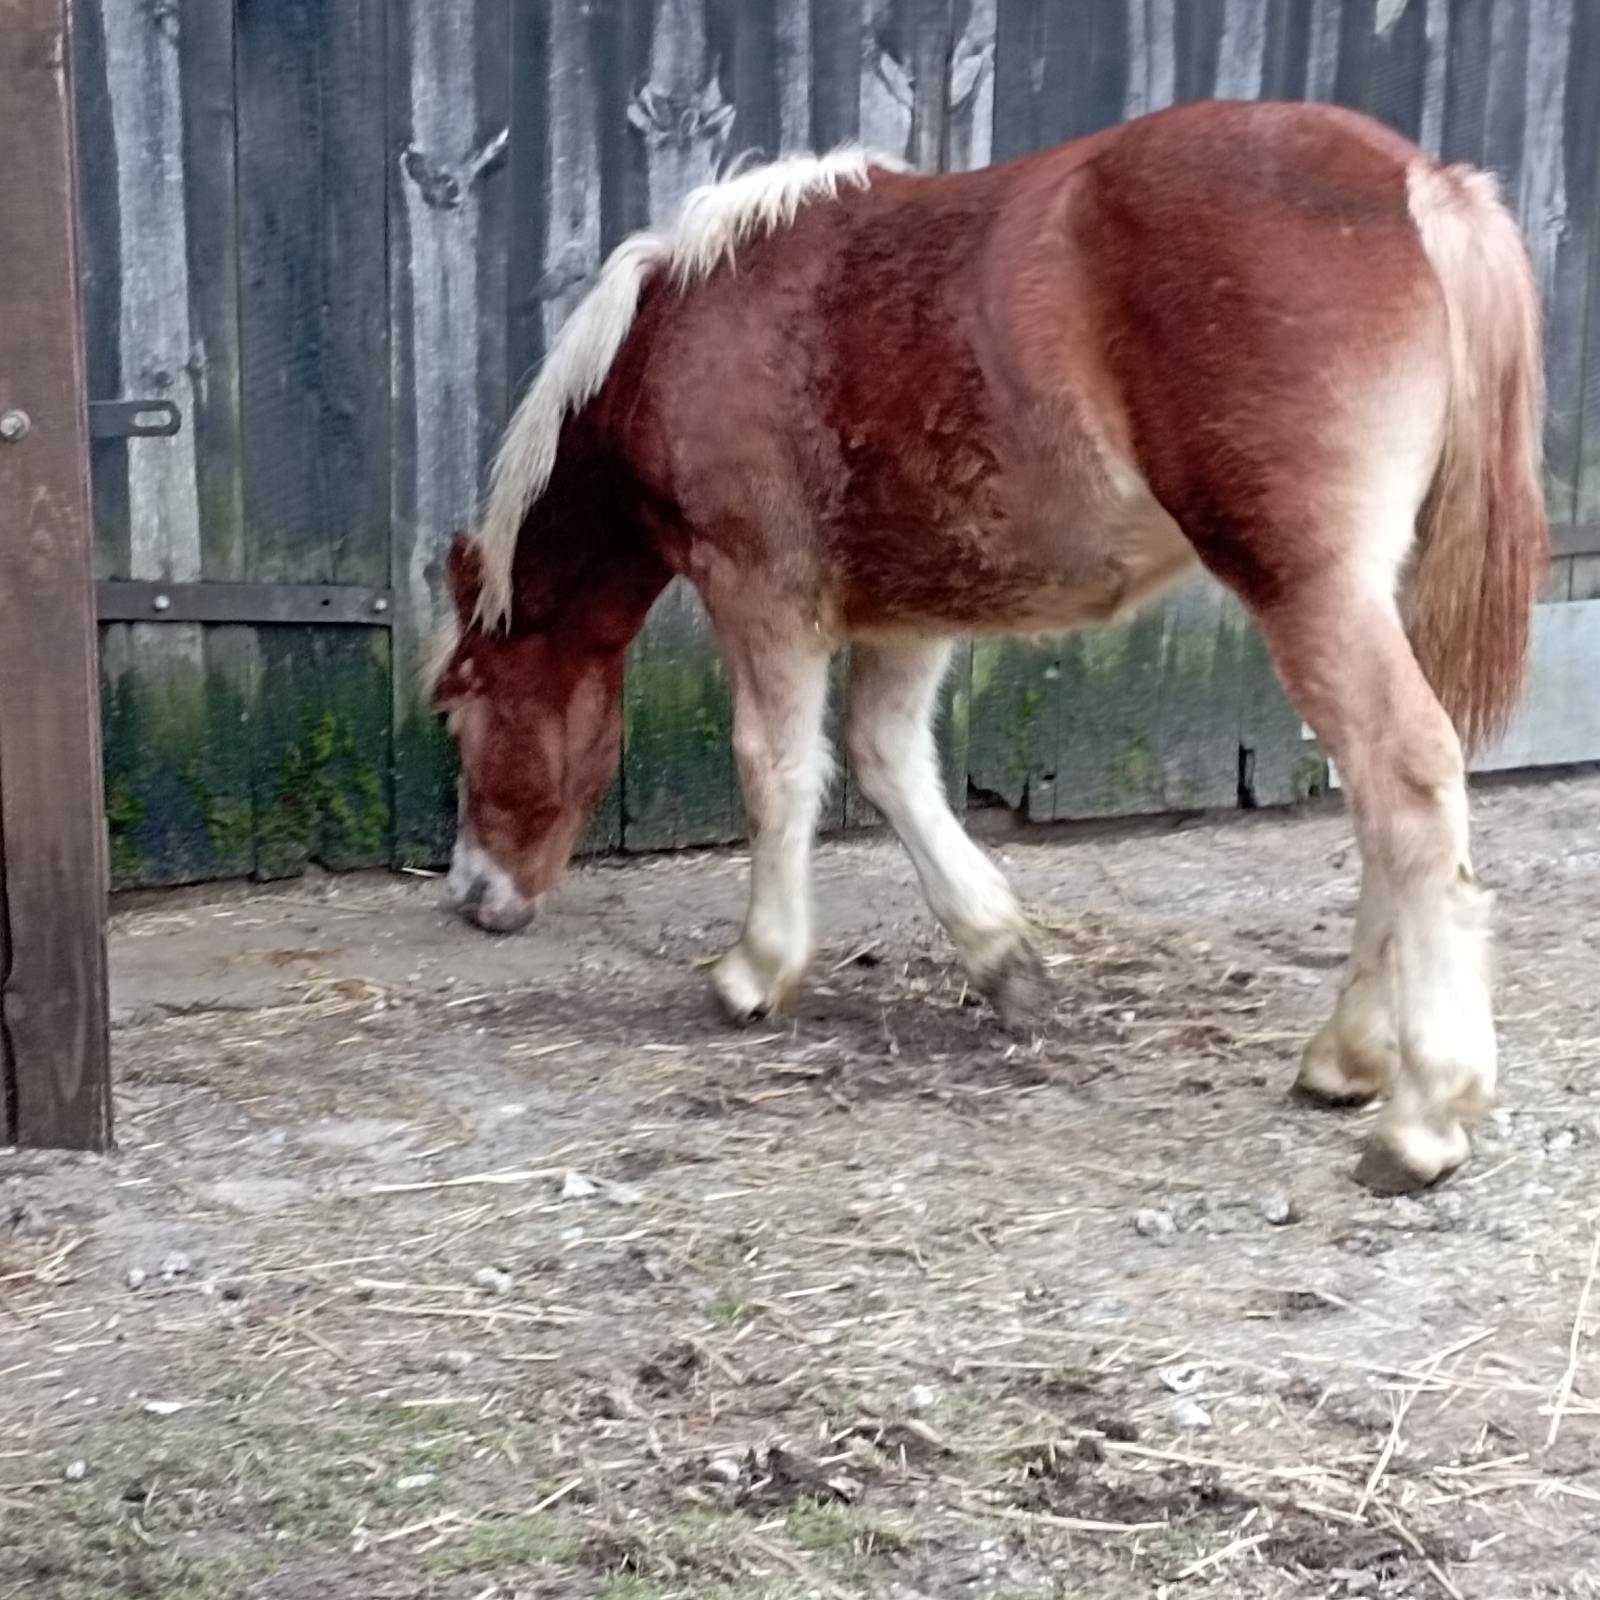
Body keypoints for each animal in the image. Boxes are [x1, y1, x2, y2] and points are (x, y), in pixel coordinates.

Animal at [432, 100, 1542, 1196]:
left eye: (457, 705)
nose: (471, 894)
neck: (687, 331)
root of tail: (1422, 188)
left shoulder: (759, 591)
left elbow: (776, 771)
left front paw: (757, 969)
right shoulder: (913, 608)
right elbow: (889, 762)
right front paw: (1001, 956)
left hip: (1313, 591)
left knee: (1406, 781)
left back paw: (1423, 1114)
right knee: (1380, 812)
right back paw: (1346, 1057)